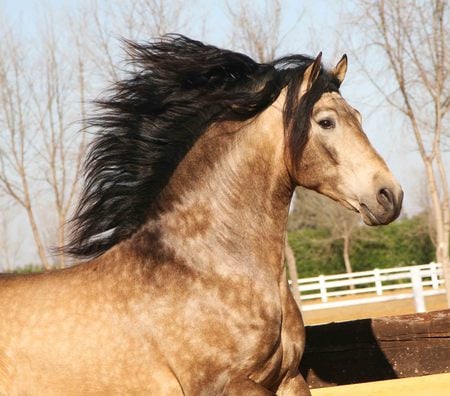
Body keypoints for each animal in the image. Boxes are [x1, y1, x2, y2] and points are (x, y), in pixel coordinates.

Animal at [0, 35, 400, 394]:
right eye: (326, 121)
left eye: (358, 116)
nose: (389, 195)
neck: (208, 266)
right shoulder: (224, 384)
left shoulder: (289, 379)